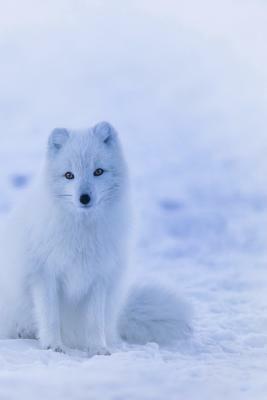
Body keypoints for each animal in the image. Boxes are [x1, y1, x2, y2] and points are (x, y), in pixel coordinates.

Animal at [0, 122, 192, 356]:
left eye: (98, 172)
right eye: (69, 175)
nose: (84, 198)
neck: (82, 233)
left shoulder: (99, 278)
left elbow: (94, 321)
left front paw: (98, 349)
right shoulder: (44, 275)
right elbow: (50, 316)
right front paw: (53, 345)